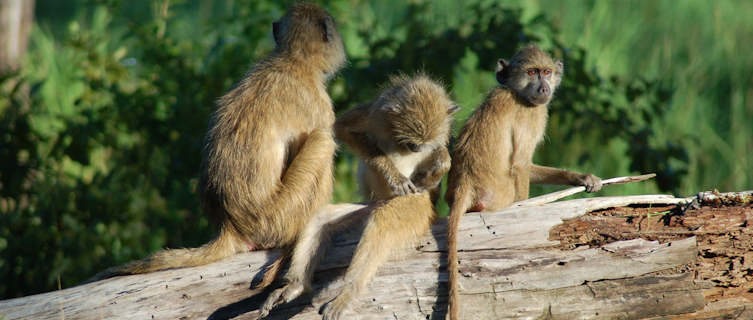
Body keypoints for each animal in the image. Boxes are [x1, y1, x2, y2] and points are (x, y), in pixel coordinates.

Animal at [258, 74, 458, 318]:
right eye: (410, 142)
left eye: (420, 144)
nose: (416, 149)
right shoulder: (376, 114)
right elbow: (342, 128)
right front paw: (393, 174)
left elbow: (441, 158)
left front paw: (435, 168)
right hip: (372, 204)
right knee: (322, 218)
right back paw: (296, 285)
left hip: (417, 205)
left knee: (384, 222)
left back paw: (348, 292)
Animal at [444, 45, 604, 320]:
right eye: (531, 72)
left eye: (546, 72)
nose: (544, 88)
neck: (515, 91)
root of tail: (465, 183)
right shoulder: (532, 114)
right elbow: (520, 163)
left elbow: (527, 166)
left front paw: (583, 178)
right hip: (501, 194)